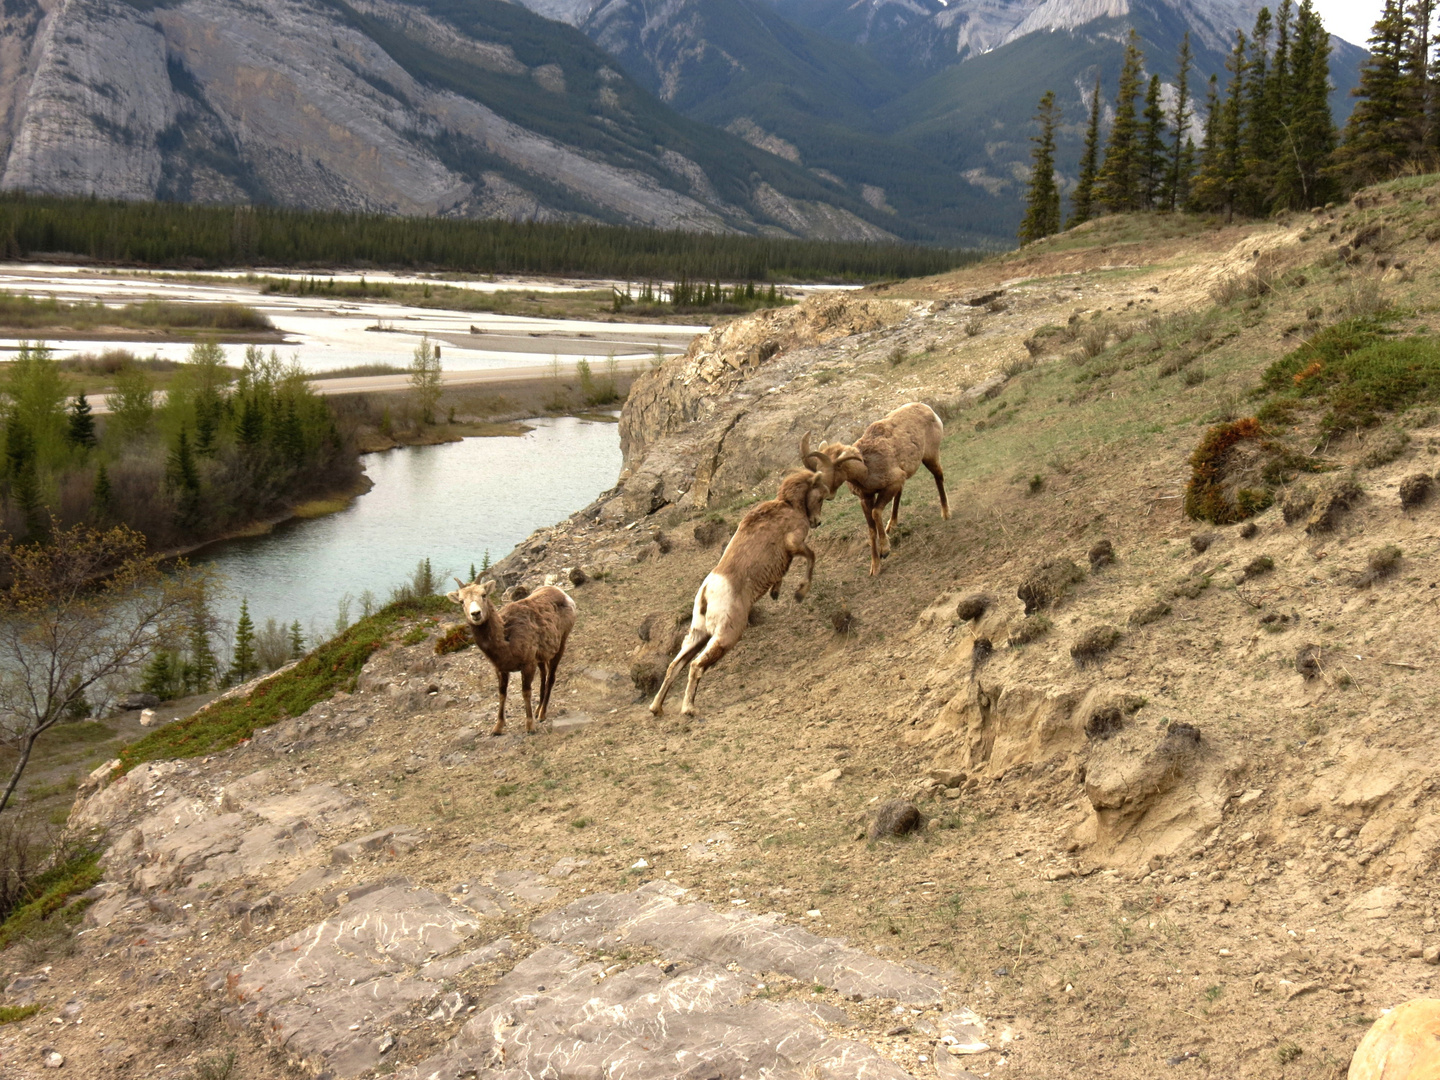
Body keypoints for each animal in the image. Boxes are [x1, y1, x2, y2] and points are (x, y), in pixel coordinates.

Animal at [443, 584, 573, 737]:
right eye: (461, 601)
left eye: (484, 595)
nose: (475, 613)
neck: (506, 640)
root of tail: (562, 593)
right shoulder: (501, 669)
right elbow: (502, 694)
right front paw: (497, 728)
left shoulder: (527, 664)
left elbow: (526, 692)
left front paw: (530, 726)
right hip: (542, 657)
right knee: (543, 676)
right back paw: (538, 710)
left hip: (561, 645)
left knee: (551, 677)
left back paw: (542, 714)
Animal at [650, 440, 852, 720]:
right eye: (820, 496)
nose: (817, 521)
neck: (787, 507)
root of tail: (707, 592)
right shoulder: (795, 543)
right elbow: (811, 557)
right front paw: (800, 593)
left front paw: (777, 592)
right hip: (726, 635)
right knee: (696, 665)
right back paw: (689, 709)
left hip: (697, 633)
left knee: (675, 665)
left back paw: (656, 708)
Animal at [817, 403, 950, 576]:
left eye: (837, 466)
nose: (825, 493)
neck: (865, 471)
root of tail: (929, 409)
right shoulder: (865, 497)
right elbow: (871, 529)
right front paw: (875, 567)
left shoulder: (891, 483)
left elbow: (876, 512)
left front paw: (885, 550)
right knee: (901, 493)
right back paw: (891, 525)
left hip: (930, 455)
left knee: (938, 476)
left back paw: (946, 513)